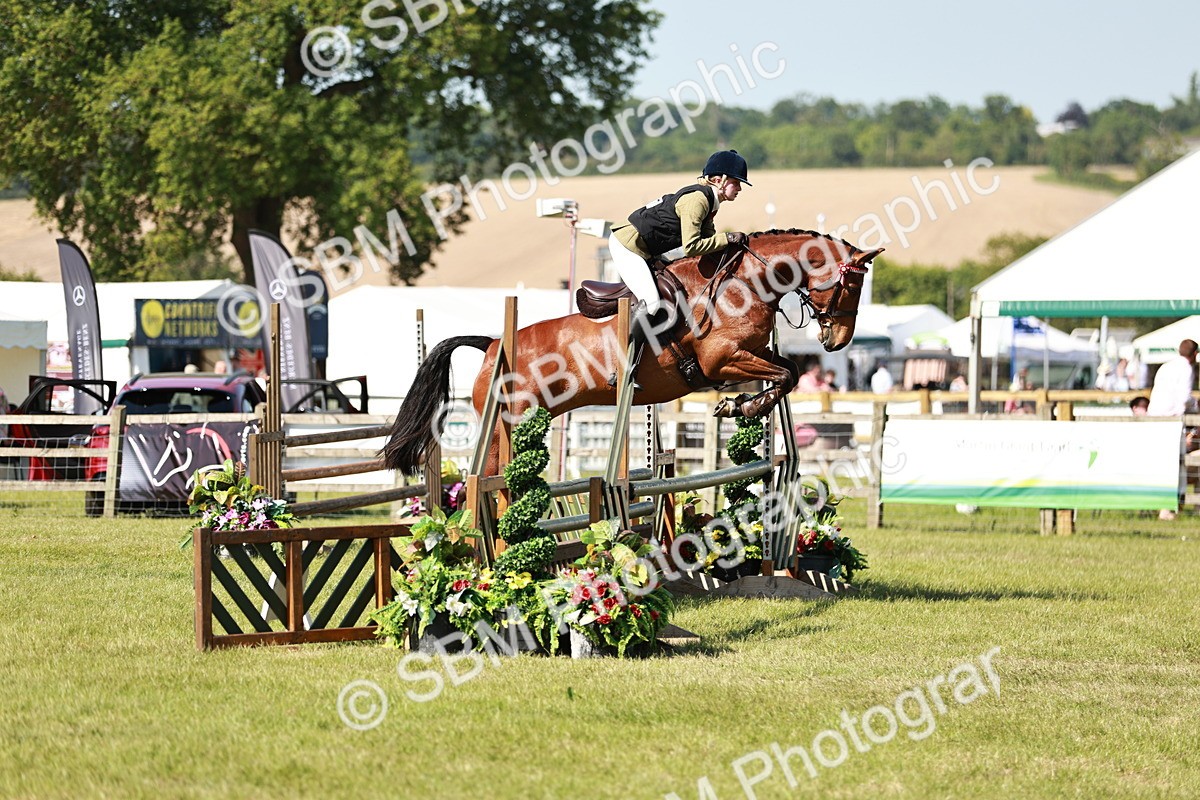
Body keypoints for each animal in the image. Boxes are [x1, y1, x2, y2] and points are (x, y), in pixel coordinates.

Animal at [382, 229, 883, 476]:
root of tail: (491, 346)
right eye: (852, 285)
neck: (743, 282)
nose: (838, 341)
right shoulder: (719, 360)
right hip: (507, 421)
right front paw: (740, 406)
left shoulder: (750, 354)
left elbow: (789, 372)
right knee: (486, 478)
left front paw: (741, 405)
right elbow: (785, 376)